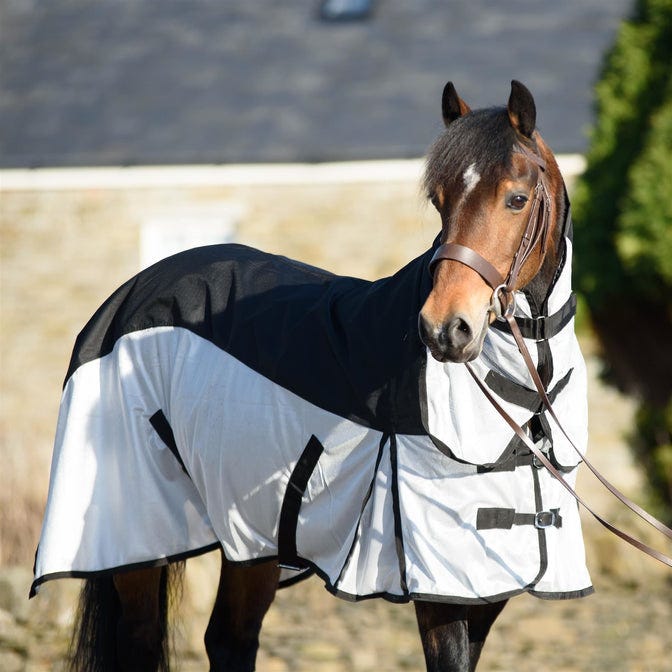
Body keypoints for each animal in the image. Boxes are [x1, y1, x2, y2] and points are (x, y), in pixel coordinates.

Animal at [31, 80, 587, 672]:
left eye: (516, 199)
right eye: (440, 201)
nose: (444, 329)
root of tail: (130, 293)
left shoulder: (483, 593)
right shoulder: (442, 597)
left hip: (251, 541)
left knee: (229, 639)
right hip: (137, 543)